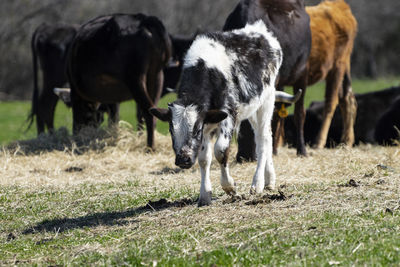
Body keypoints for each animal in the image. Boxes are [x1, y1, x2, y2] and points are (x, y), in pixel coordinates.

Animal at [67, 13, 172, 150]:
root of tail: (143, 19)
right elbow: (114, 119)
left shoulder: (76, 95)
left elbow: (78, 119)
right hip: (157, 75)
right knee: (152, 113)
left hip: (135, 78)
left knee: (148, 114)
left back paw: (149, 148)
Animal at [150, 21, 300, 207]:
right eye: (171, 130)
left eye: (196, 130)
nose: (183, 160)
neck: (205, 68)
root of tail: (260, 30)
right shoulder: (208, 122)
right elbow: (204, 158)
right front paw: (205, 194)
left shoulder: (228, 114)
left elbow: (220, 150)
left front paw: (229, 186)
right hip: (251, 107)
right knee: (266, 137)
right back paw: (269, 179)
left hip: (266, 100)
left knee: (263, 139)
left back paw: (258, 183)